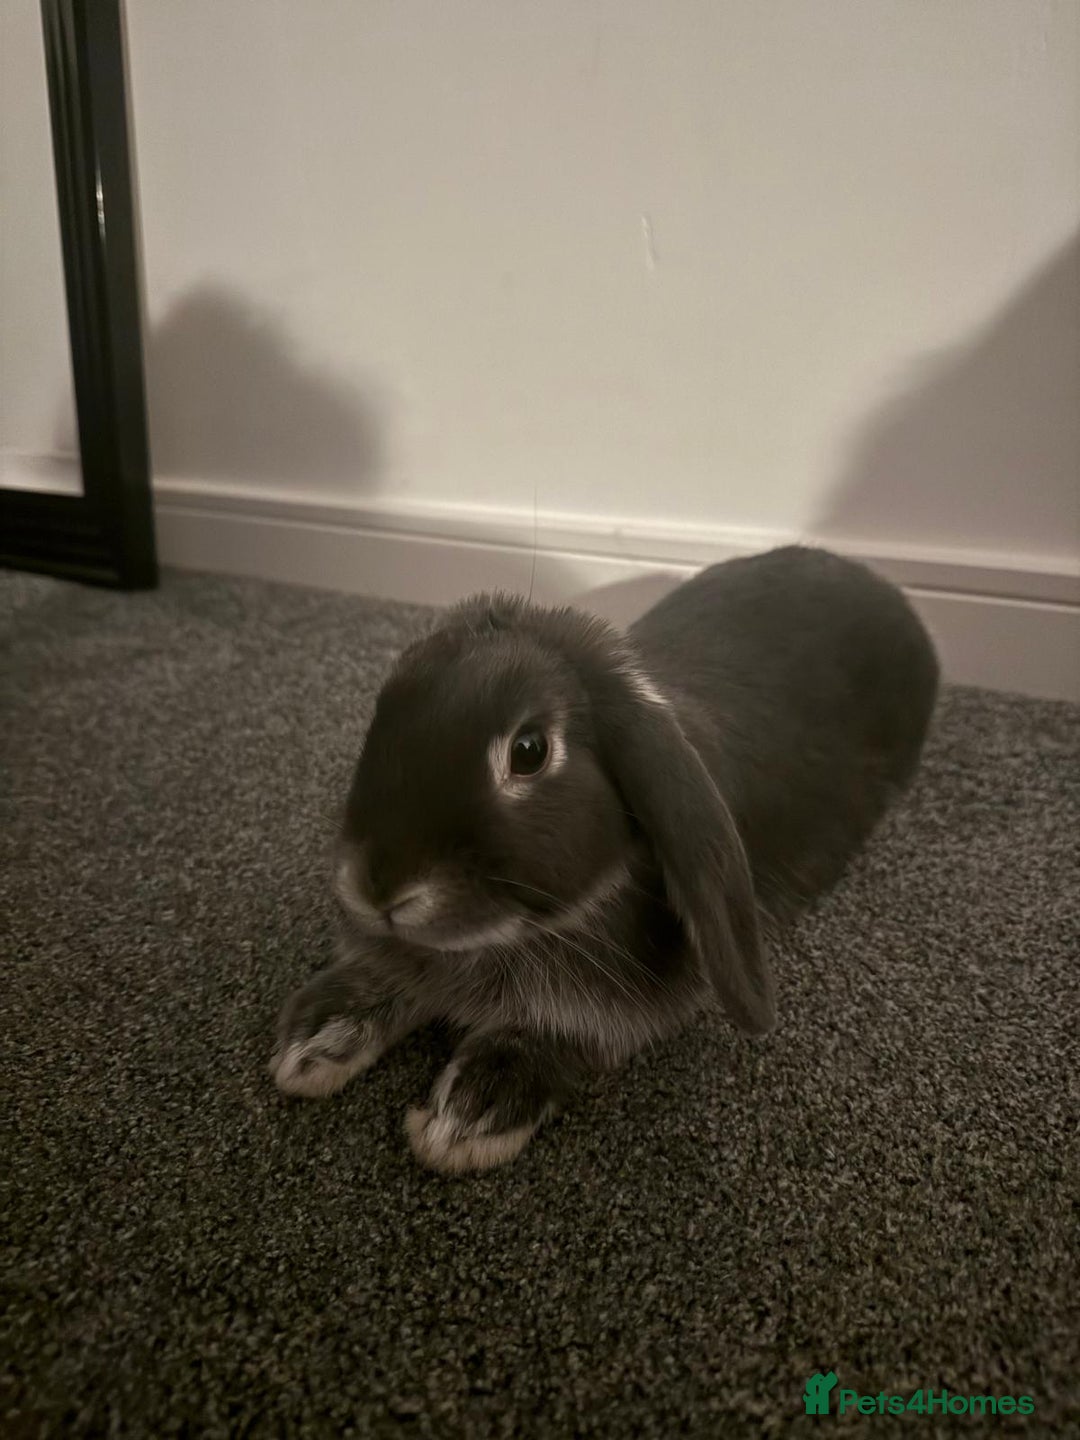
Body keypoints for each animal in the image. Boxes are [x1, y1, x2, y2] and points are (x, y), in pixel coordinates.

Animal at [269, 545, 939, 1174]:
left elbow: (568, 1037)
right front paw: (314, 1036)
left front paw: (468, 1117)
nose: (378, 888)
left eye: (530, 751)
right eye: (381, 717)